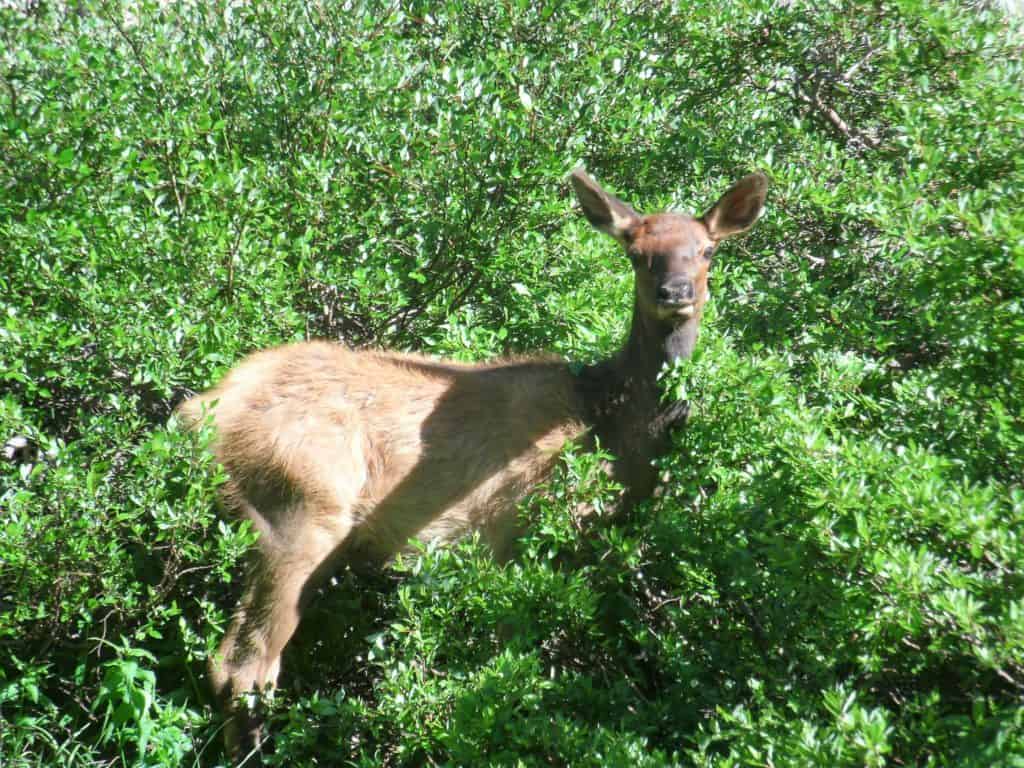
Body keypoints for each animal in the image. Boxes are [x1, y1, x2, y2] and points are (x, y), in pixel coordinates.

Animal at [178, 169, 770, 757]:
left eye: (708, 249)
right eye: (636, 251)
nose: (676, 292)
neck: (614, 430)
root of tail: (200, 411)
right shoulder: (513, 530)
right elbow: (511, 669)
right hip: (298, 506)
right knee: (245, 667)